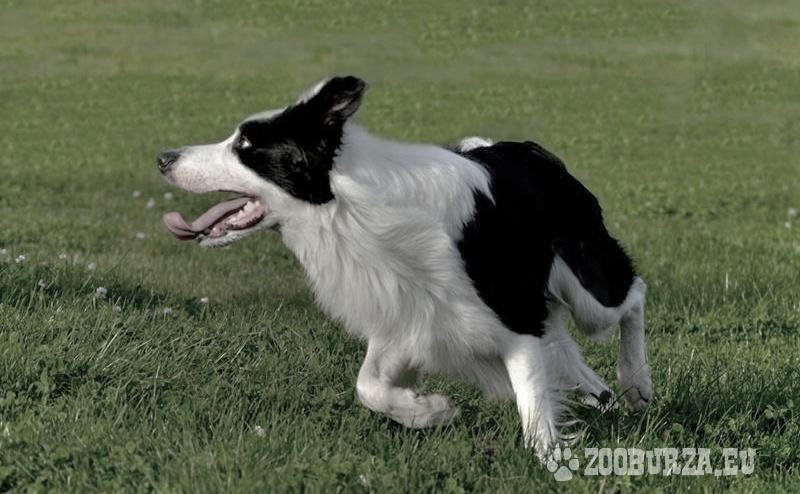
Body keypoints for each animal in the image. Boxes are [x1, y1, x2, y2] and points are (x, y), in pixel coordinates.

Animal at [157, 76, 652, 459]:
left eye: (245, 146)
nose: (163, 159)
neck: (349, 208)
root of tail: (534, 152)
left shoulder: (516, 312)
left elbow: (532, 402)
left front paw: (547, 460)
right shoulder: (408, 314)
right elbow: (369, 385)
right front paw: (431, 411)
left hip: (589, 286)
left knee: (634, 295)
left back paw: (636, 385)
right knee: (580, 360)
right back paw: (604, 396)